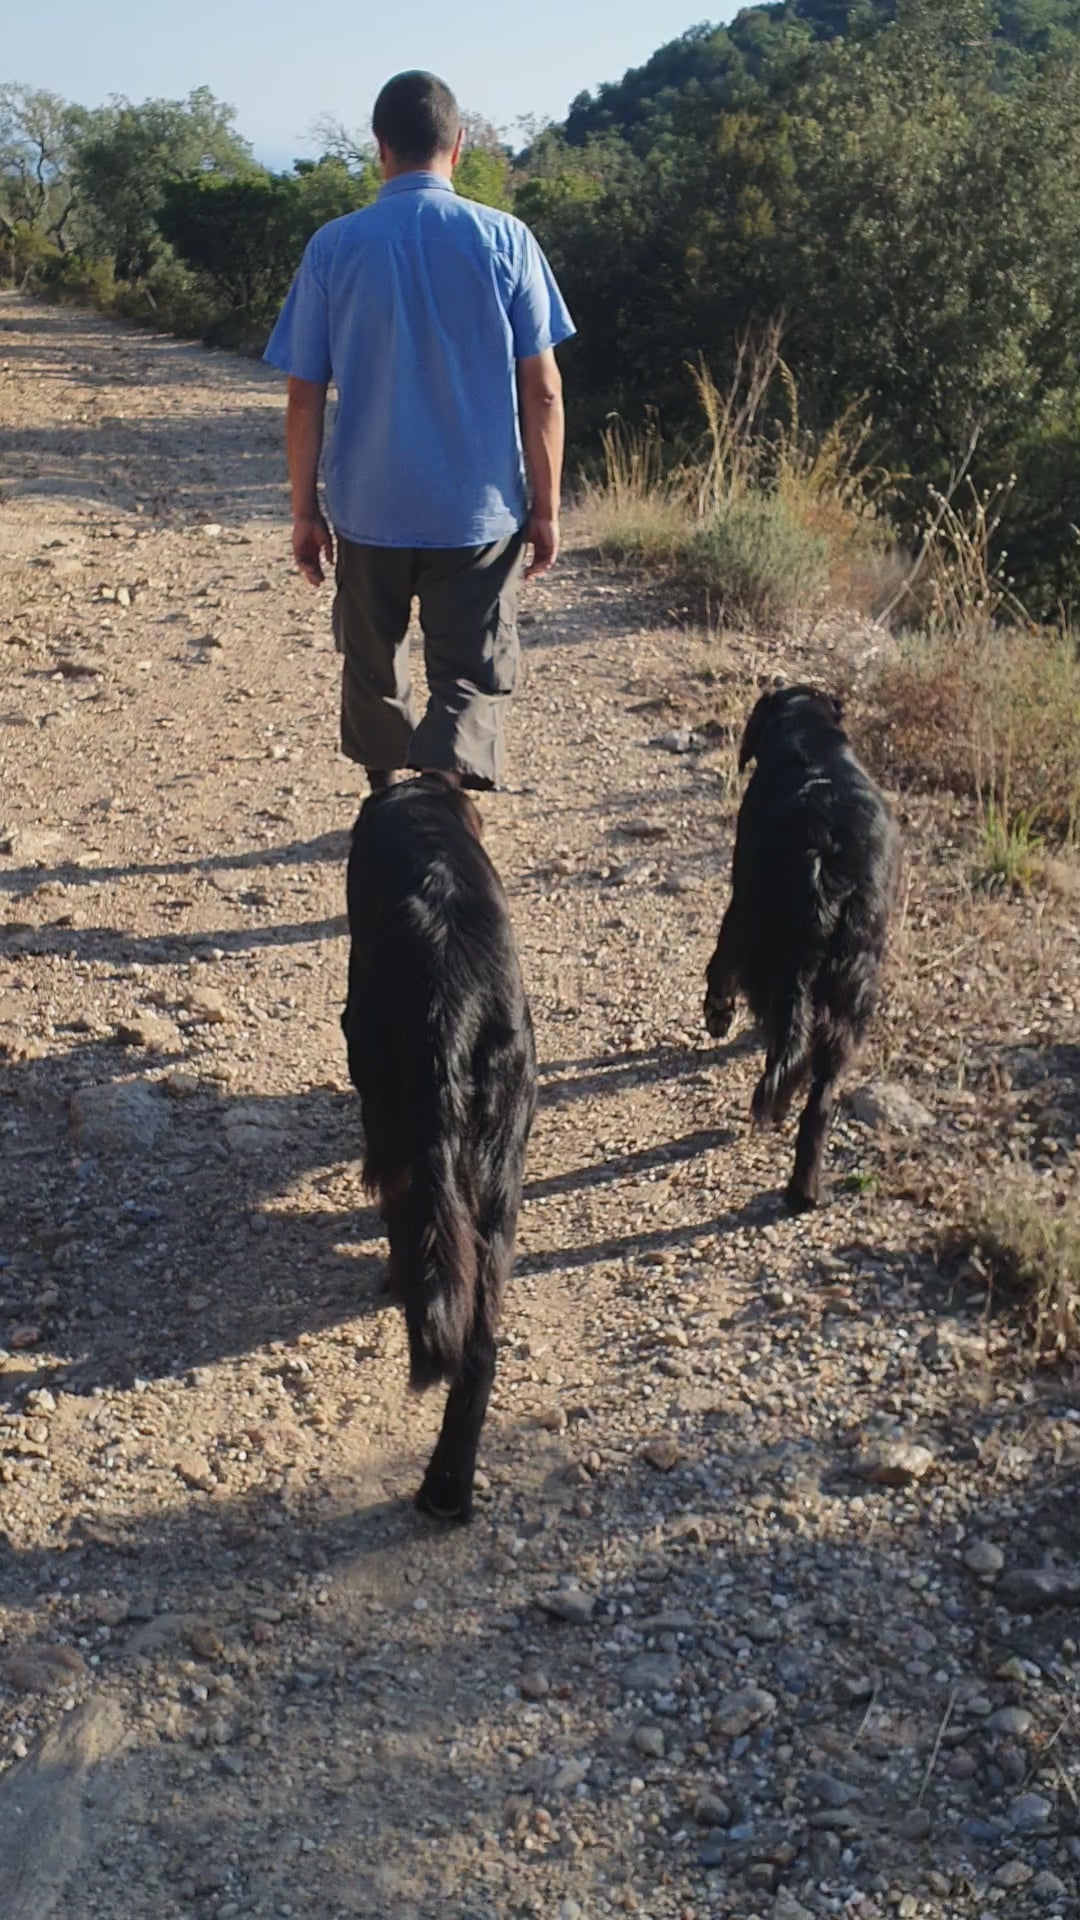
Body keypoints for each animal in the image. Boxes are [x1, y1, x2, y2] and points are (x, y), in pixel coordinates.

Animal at [340, 771, 534, 1520]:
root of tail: (454, 1008)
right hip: (502, 1164)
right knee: (481, 1341)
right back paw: (448, 1490)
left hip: (402, 1127)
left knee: (407, 1231)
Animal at [703, 683, 895, 1205]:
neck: (811, 739)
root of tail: (824, 865)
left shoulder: (740, 905)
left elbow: (720, 970)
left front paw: (718, 1017)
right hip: (853, 995)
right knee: (818, 1098)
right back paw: (804, 1189)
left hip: (772, 948)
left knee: (784, 1040)